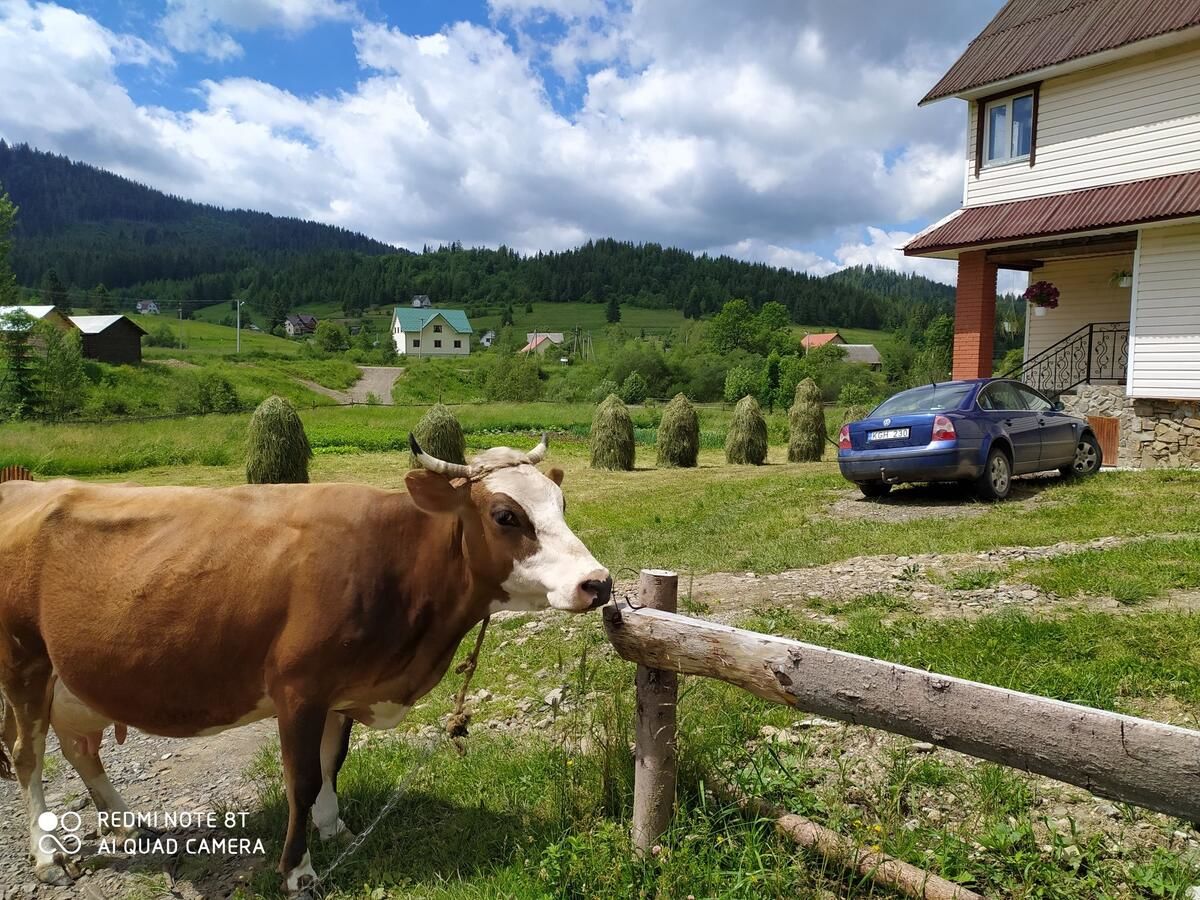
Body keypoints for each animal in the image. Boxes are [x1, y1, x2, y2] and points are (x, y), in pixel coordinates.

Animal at [0, 436, 604, 897]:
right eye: (506, 515)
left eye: (562, 503)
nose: (597, 583)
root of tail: (23, 486)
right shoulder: (298, 690)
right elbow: (304, 778)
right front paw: (298, 870)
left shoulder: (342, 690)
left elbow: (333, 763)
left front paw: (334, 827)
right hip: (23, 662)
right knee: (28, 755)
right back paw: (49, 858)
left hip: (69, 680)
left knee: (79, 747)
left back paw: (130, 825)